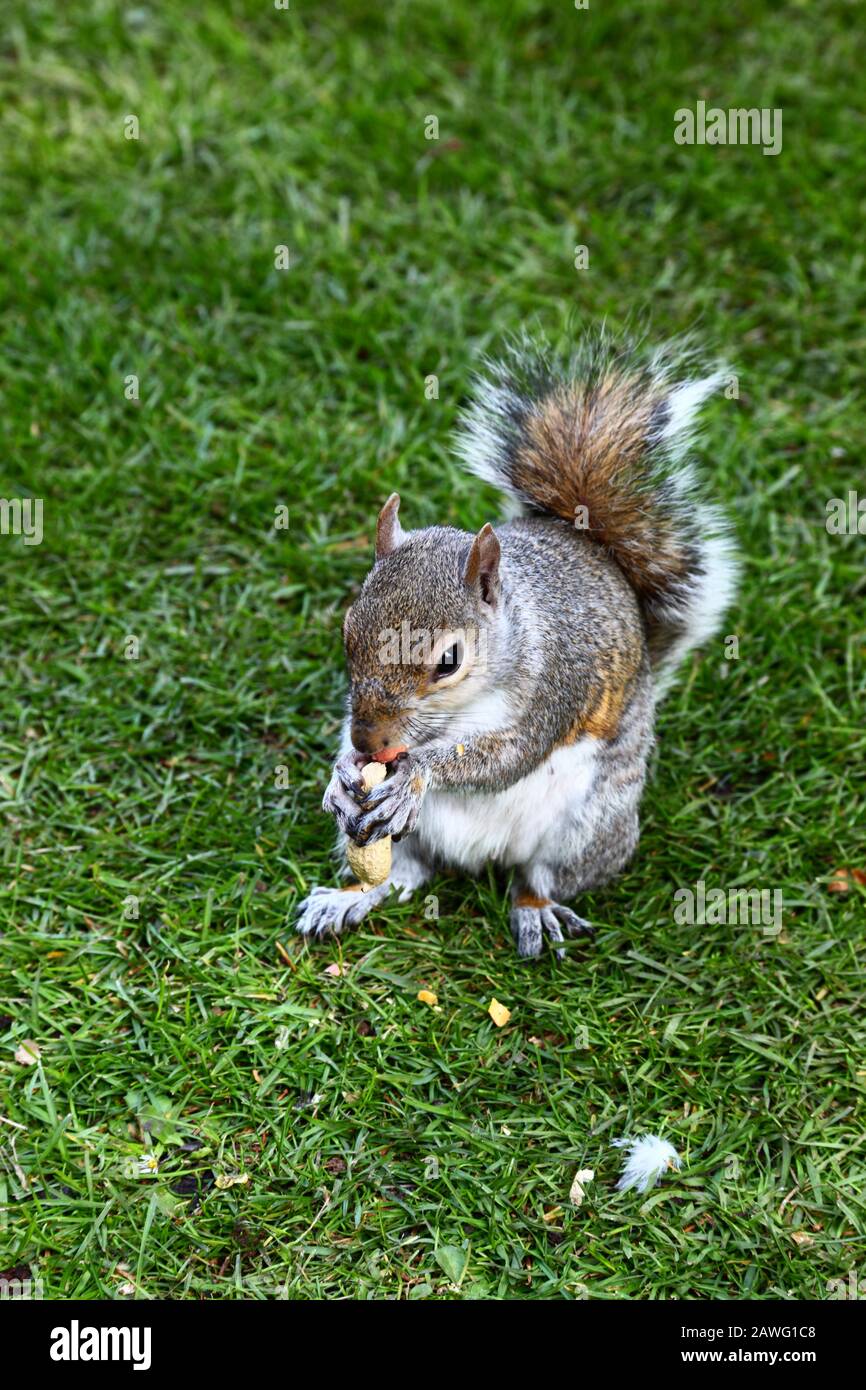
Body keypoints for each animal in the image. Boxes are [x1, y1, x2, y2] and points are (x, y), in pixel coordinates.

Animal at [297, 328, 739, 956]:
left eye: (449, 661)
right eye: (346, 632)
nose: (369, 742)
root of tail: (479, 859)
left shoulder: (555, 684)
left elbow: (508, 754)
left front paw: (416, 772)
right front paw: (342, 773)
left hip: (588, 826)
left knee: (539, 879)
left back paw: (535, 911)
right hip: (405, 842)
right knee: (402, 876)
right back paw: (349, 898)